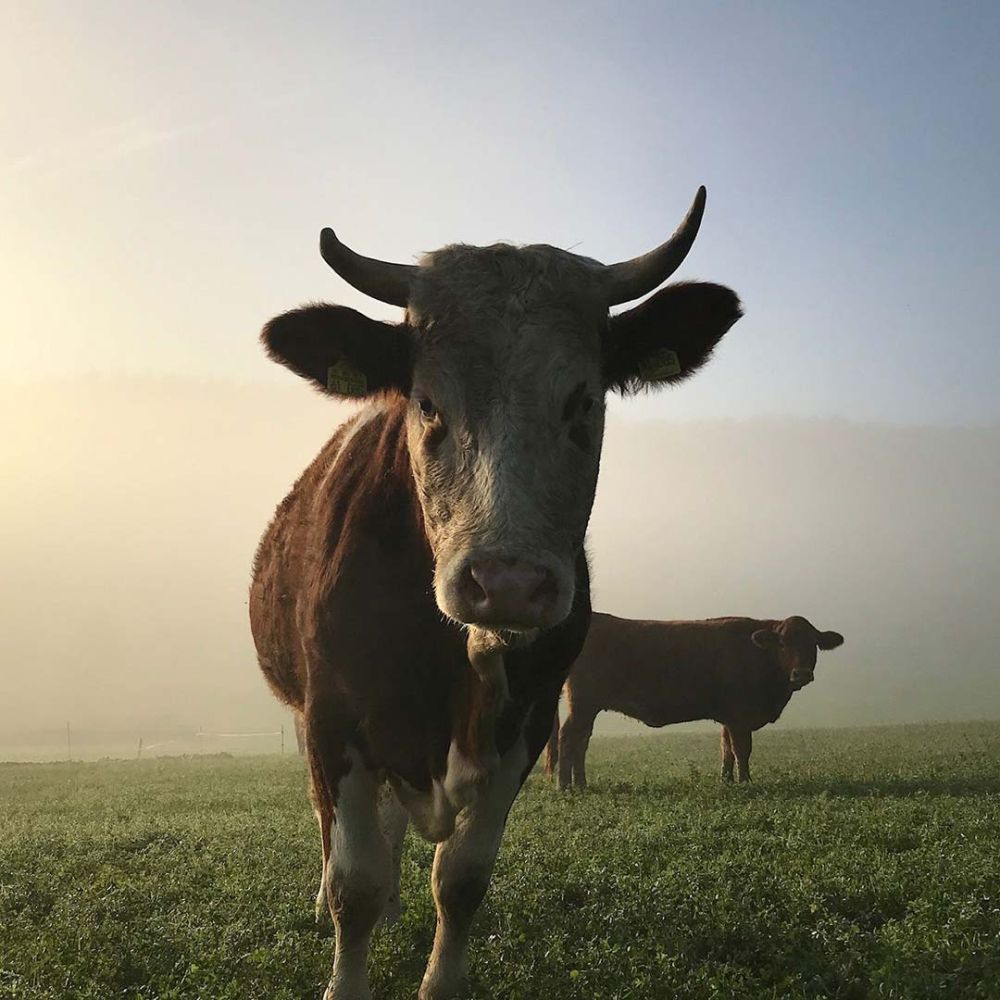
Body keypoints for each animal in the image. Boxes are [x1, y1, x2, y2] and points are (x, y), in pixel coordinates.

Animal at [248, 187, 742, 1000]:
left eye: (584, 402)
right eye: (426, 404)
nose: (506, 584)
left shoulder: (529, 720)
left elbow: (462, 879)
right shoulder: (333, 720)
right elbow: (354, 881)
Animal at [546, 613, 844, 789]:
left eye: (813, 644)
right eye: (782, 644)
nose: (801, 673)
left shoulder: (728, 718)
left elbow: (726, 749)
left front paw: (726, 781)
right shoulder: (739, 716)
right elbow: (741, 749)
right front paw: (746, 781)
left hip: (588, 707)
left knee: (581, 742)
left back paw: (581, 784)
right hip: (583, 703)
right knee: (568, 737)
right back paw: (565, 787)